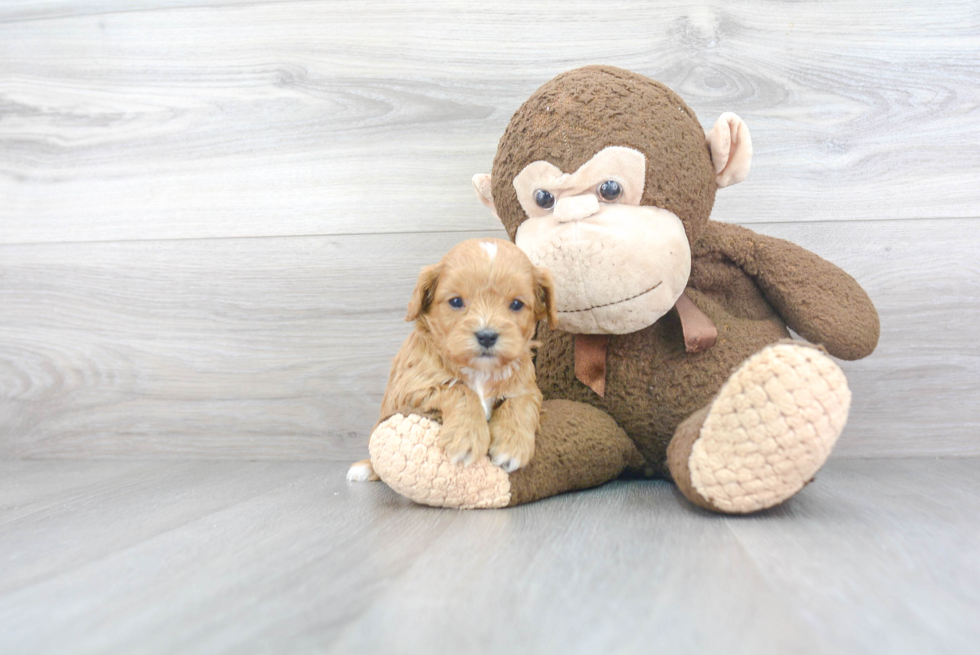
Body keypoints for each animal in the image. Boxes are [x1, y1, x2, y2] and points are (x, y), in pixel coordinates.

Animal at [348, 238, 556, 484]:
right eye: (456, 301)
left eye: (516, 304)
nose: (487, 336)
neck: (480, 371)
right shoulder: (410, 388)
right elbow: (460, 390)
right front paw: (466, 438)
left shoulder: (527, 386)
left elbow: (519, 402)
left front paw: (512, 446)